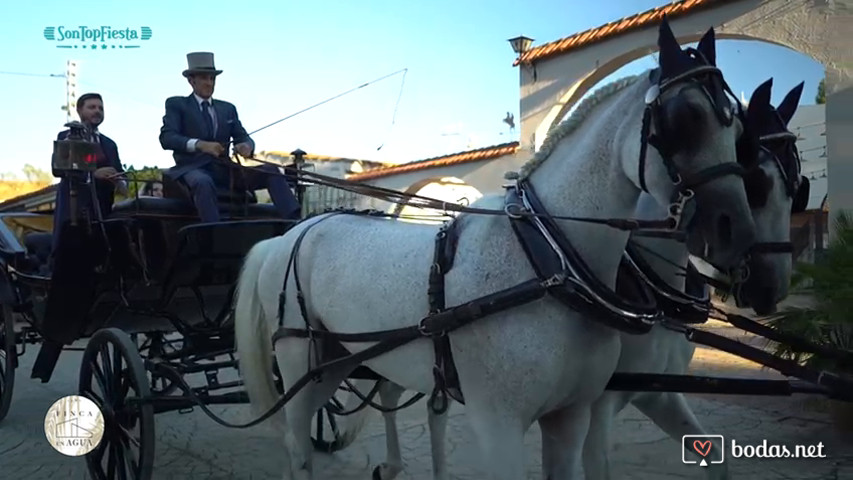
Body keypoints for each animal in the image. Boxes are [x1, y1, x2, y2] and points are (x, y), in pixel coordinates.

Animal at [231, 19, 752, 480]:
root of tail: (290, 234)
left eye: (739, 129)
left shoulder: (572, 415)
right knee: (297, 445)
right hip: (301, 361)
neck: (550, 264)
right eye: (684, 118)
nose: (736, 231)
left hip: (342, 360)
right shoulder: (499, 426)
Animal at [330, 79, 808, 480]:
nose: (771, 287)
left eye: (798, 186)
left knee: (418, 399)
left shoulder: (654, 391)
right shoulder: (601, 404)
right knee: (390, 392)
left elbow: (716, 460)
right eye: (757, 179)